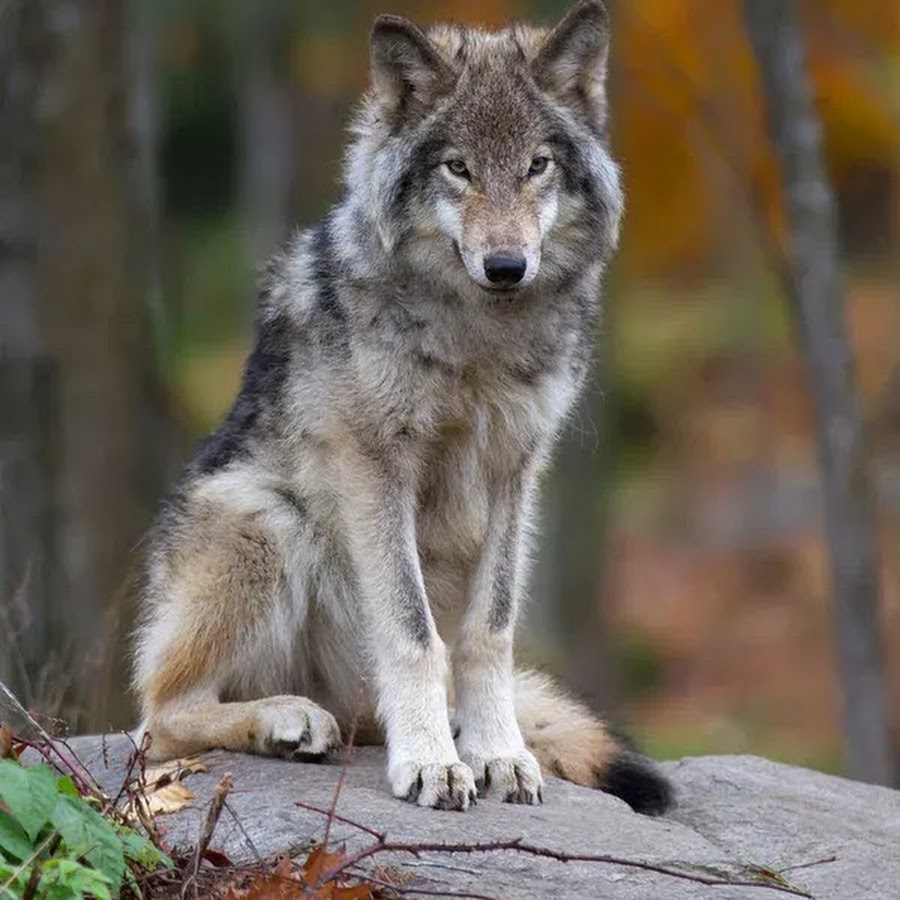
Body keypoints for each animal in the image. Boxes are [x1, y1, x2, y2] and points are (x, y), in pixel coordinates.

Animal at [132, 0, 668, 816]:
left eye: (536, 165)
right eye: (459, 168)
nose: (506, 265)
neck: (478, 336)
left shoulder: (516, 471)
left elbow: (488, 632)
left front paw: (496, 752)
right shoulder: (375, 465)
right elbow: (414, 633)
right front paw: (432, 762)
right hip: (268, 516)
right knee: (156, 721)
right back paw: (288, 720)